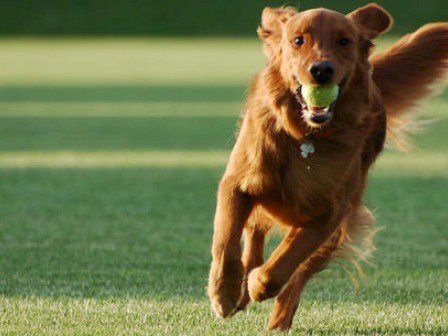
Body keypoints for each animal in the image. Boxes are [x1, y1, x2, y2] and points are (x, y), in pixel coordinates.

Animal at [207, 2, 448, 332]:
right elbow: (226, 244)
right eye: (298, 40)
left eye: (344, 41)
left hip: (340, 226)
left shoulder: (328, 215)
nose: (321, 70)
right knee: (254, 235)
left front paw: (257, 284)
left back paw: (277, 317)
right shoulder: (237, 184)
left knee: (297, 276)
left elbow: (281, 265)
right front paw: (225, 293)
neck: (305, 135)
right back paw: (242, 292)